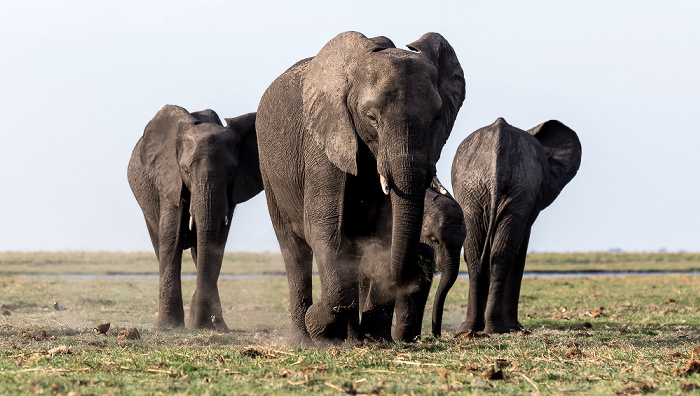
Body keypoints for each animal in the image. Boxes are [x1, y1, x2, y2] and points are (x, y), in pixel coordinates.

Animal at [128, 105, 262, 332]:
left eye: (231, 171)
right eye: (186, 171)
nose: (204, 324)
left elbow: (216, 243)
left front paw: (211, 327)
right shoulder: (170, 179)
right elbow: (171, 238)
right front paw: (168, 328)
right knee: (159, 243)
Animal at [256, 32, 464, 344]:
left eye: (436, 118)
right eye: (371, 117)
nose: (422, 260)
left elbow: (385, 232)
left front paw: (377, 341)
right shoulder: (324, 140)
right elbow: (324, 227)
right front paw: (322, 324)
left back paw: (353, 339)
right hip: (269, 172)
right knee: (294, 249)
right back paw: (305, 339)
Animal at [452, 117, 584, 334]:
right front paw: (515, 327)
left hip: (476, 191)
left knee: (477, 253)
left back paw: (477, 329)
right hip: (504, 189)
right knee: (501, 254)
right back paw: (493, 328)